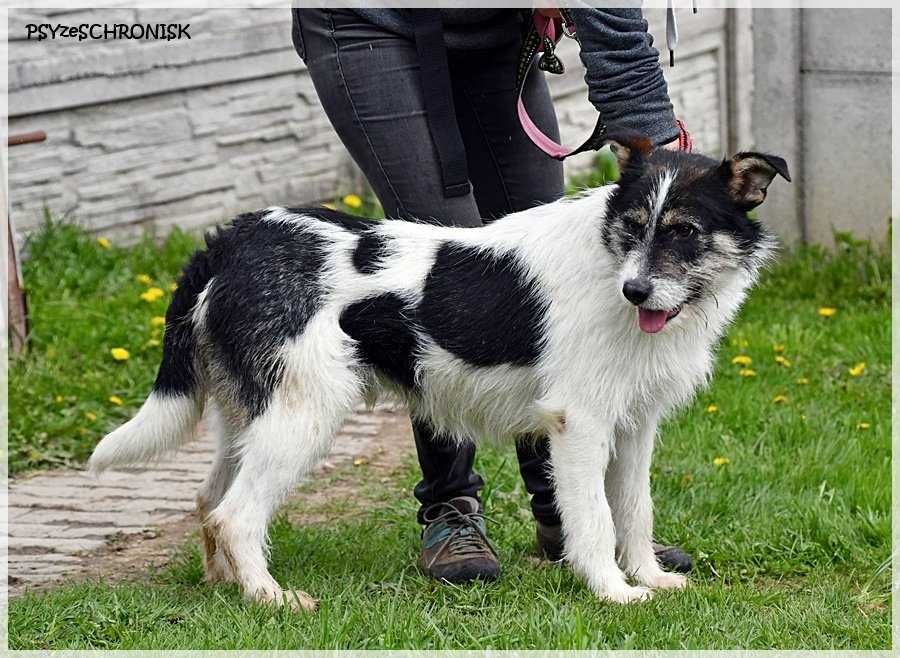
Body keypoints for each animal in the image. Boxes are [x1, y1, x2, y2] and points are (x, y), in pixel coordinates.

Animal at [89, 135, 788, 608]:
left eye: (685, 231)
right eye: (637, 225)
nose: (636, 291)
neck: (608, 259)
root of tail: (236, 235)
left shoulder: (635, 425)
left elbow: (634, 512)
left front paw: (649, 576)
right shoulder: (580, 426)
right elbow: (593, 519)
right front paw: (613, 592)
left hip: (252, 416)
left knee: (208, 502)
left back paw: (224, 585)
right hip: (304, 415)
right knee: (235, 515)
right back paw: (271, 599)